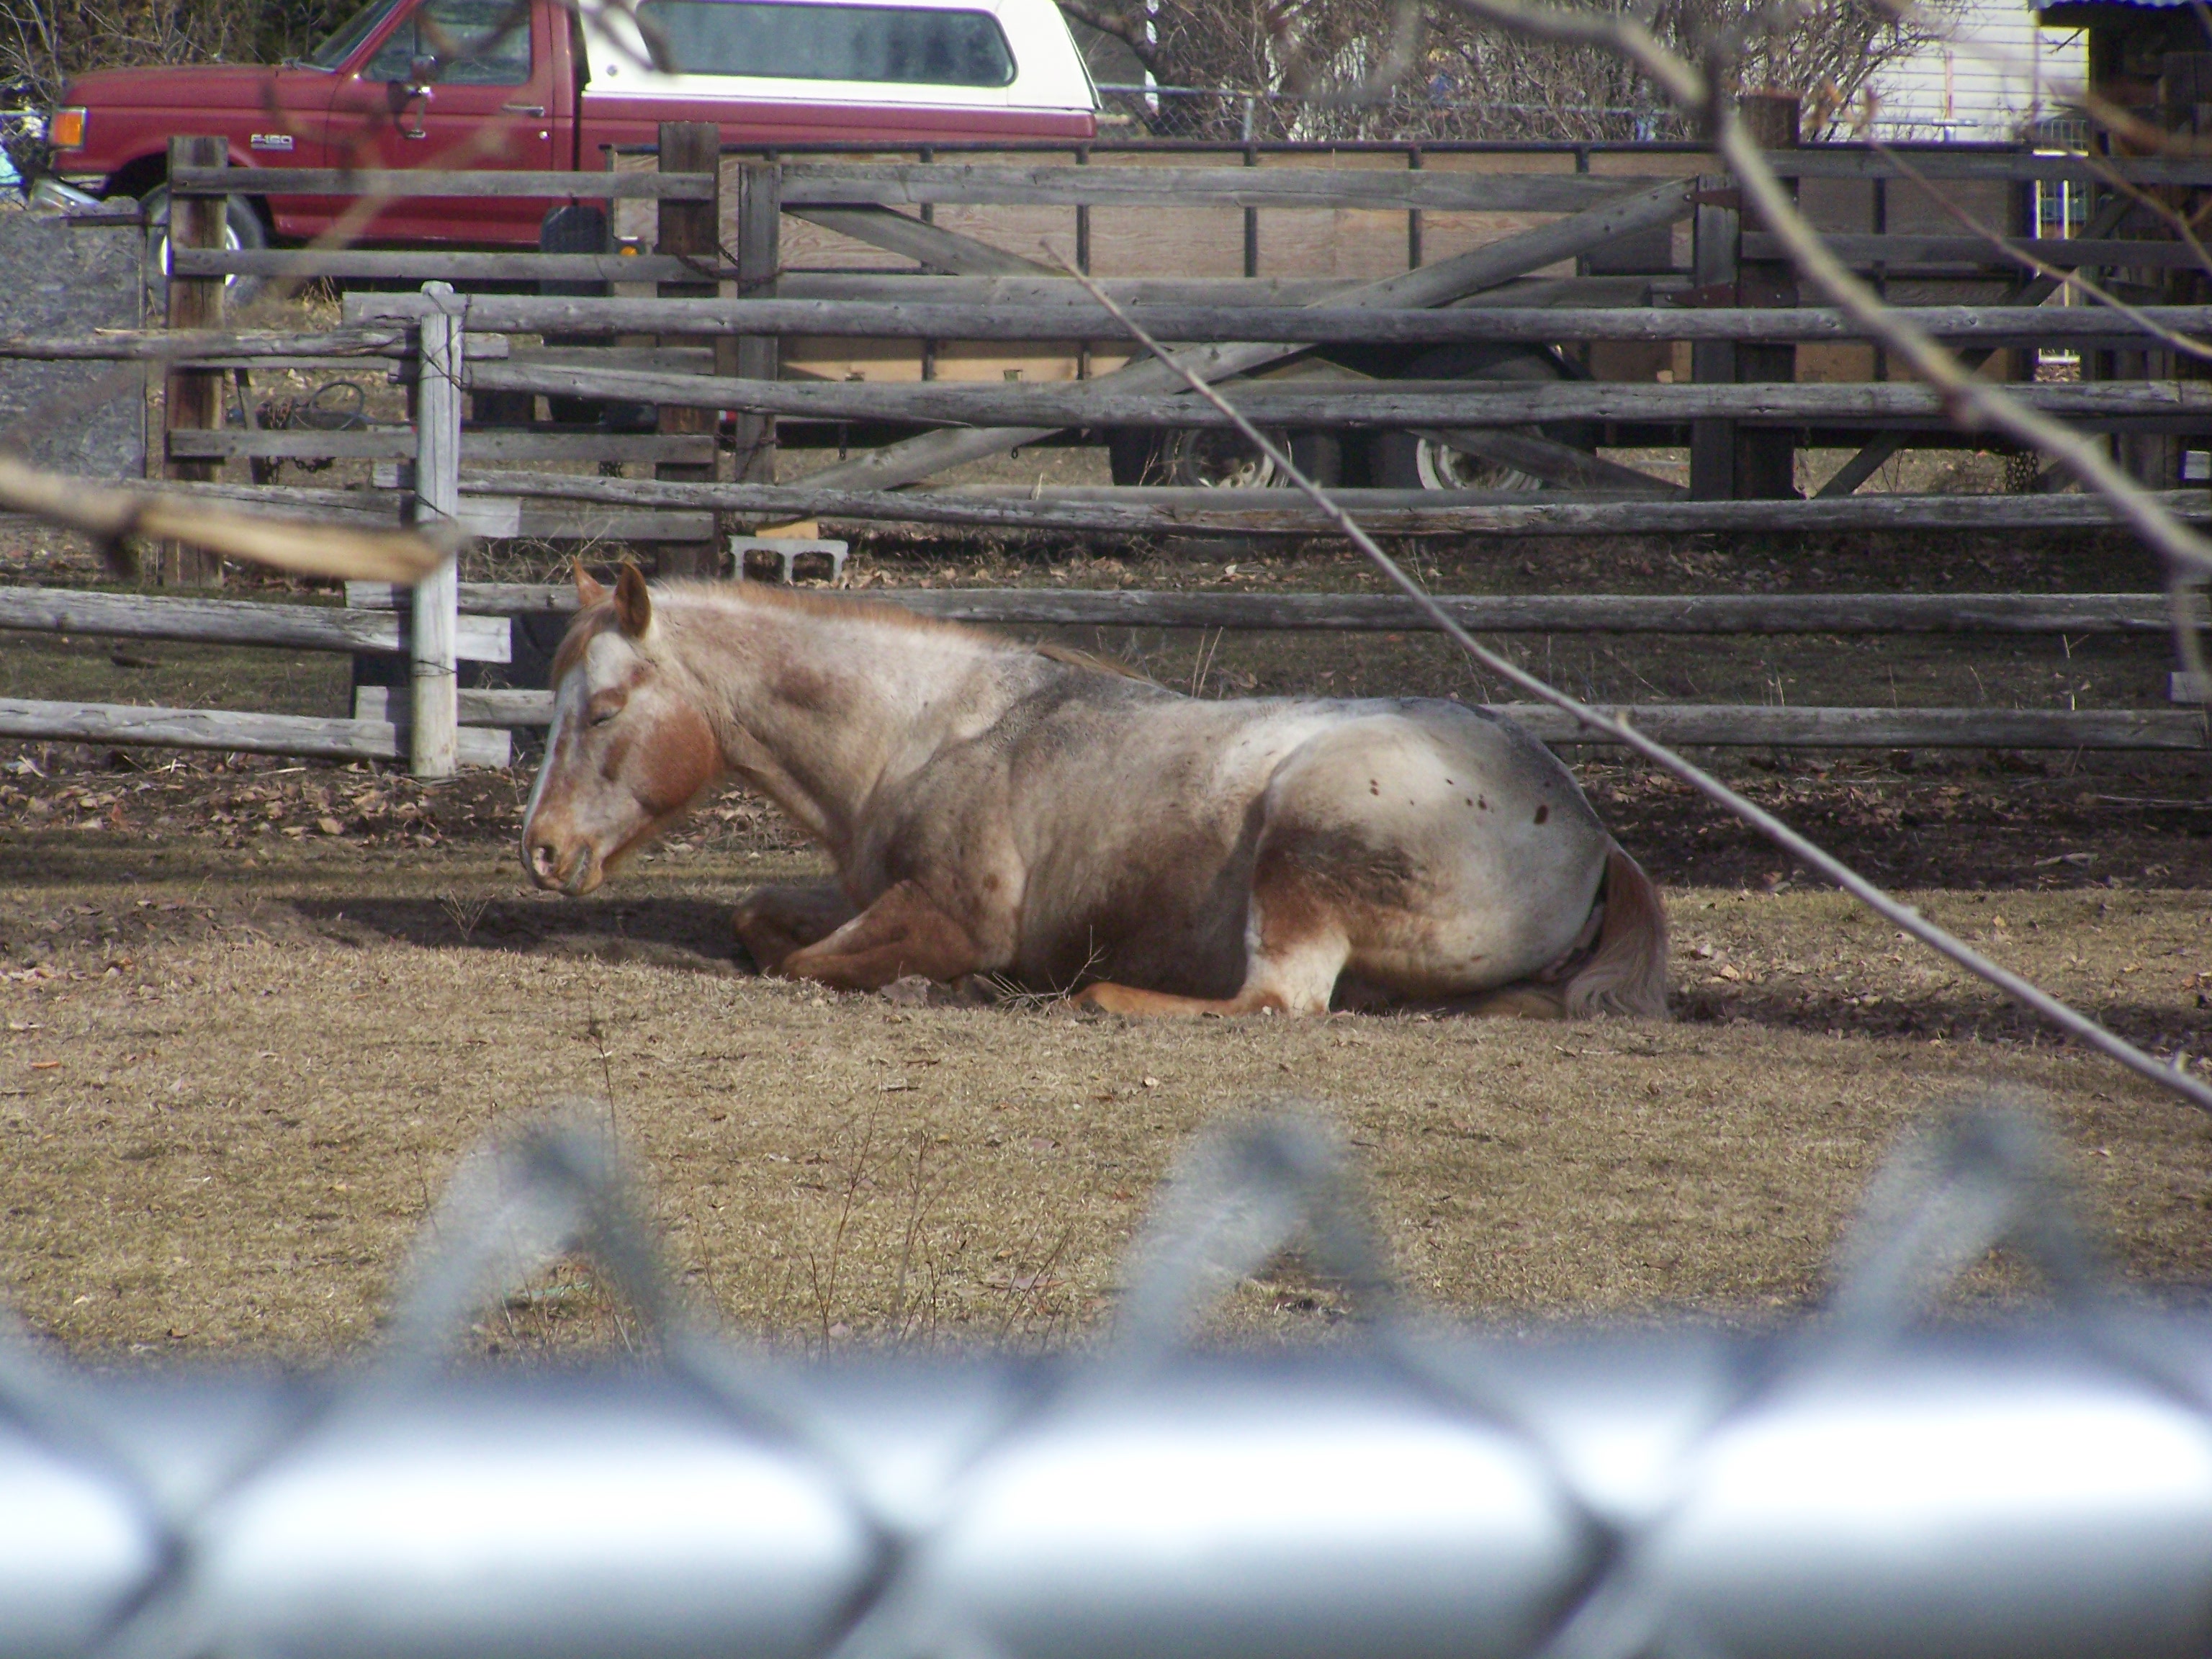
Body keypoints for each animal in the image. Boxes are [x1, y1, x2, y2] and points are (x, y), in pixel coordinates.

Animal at [521, 564, 1668, 1019]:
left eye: (606, 710)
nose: (541, 848)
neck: (926, 732)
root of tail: (1587, 828)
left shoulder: (948, 918)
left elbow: (808, 963)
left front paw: (955, 987)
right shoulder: (861, 890)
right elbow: (761, 922)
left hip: (1301, 841)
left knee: (1278, 999)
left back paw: (1099, 995)